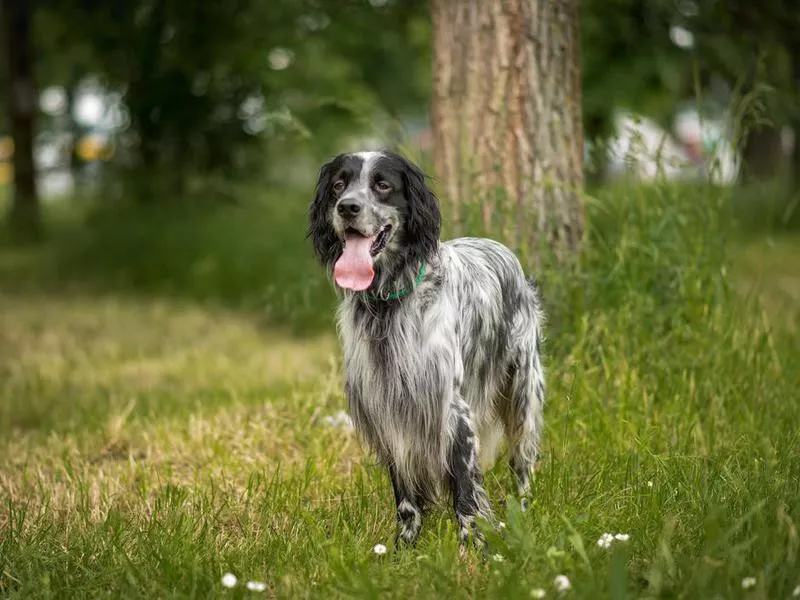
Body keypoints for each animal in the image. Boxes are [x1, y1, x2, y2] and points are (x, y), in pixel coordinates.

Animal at [306, 151, 544, 548]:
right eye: (339, 184)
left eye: (382, 184)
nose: (347, 207)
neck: (388, 306)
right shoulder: (388, 410)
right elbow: (406, 498)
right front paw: (404, 547)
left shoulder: (452, 409)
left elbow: (466, 492)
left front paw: (471, 548)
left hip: (523, 393)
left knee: (522, 463)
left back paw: (524, 512)